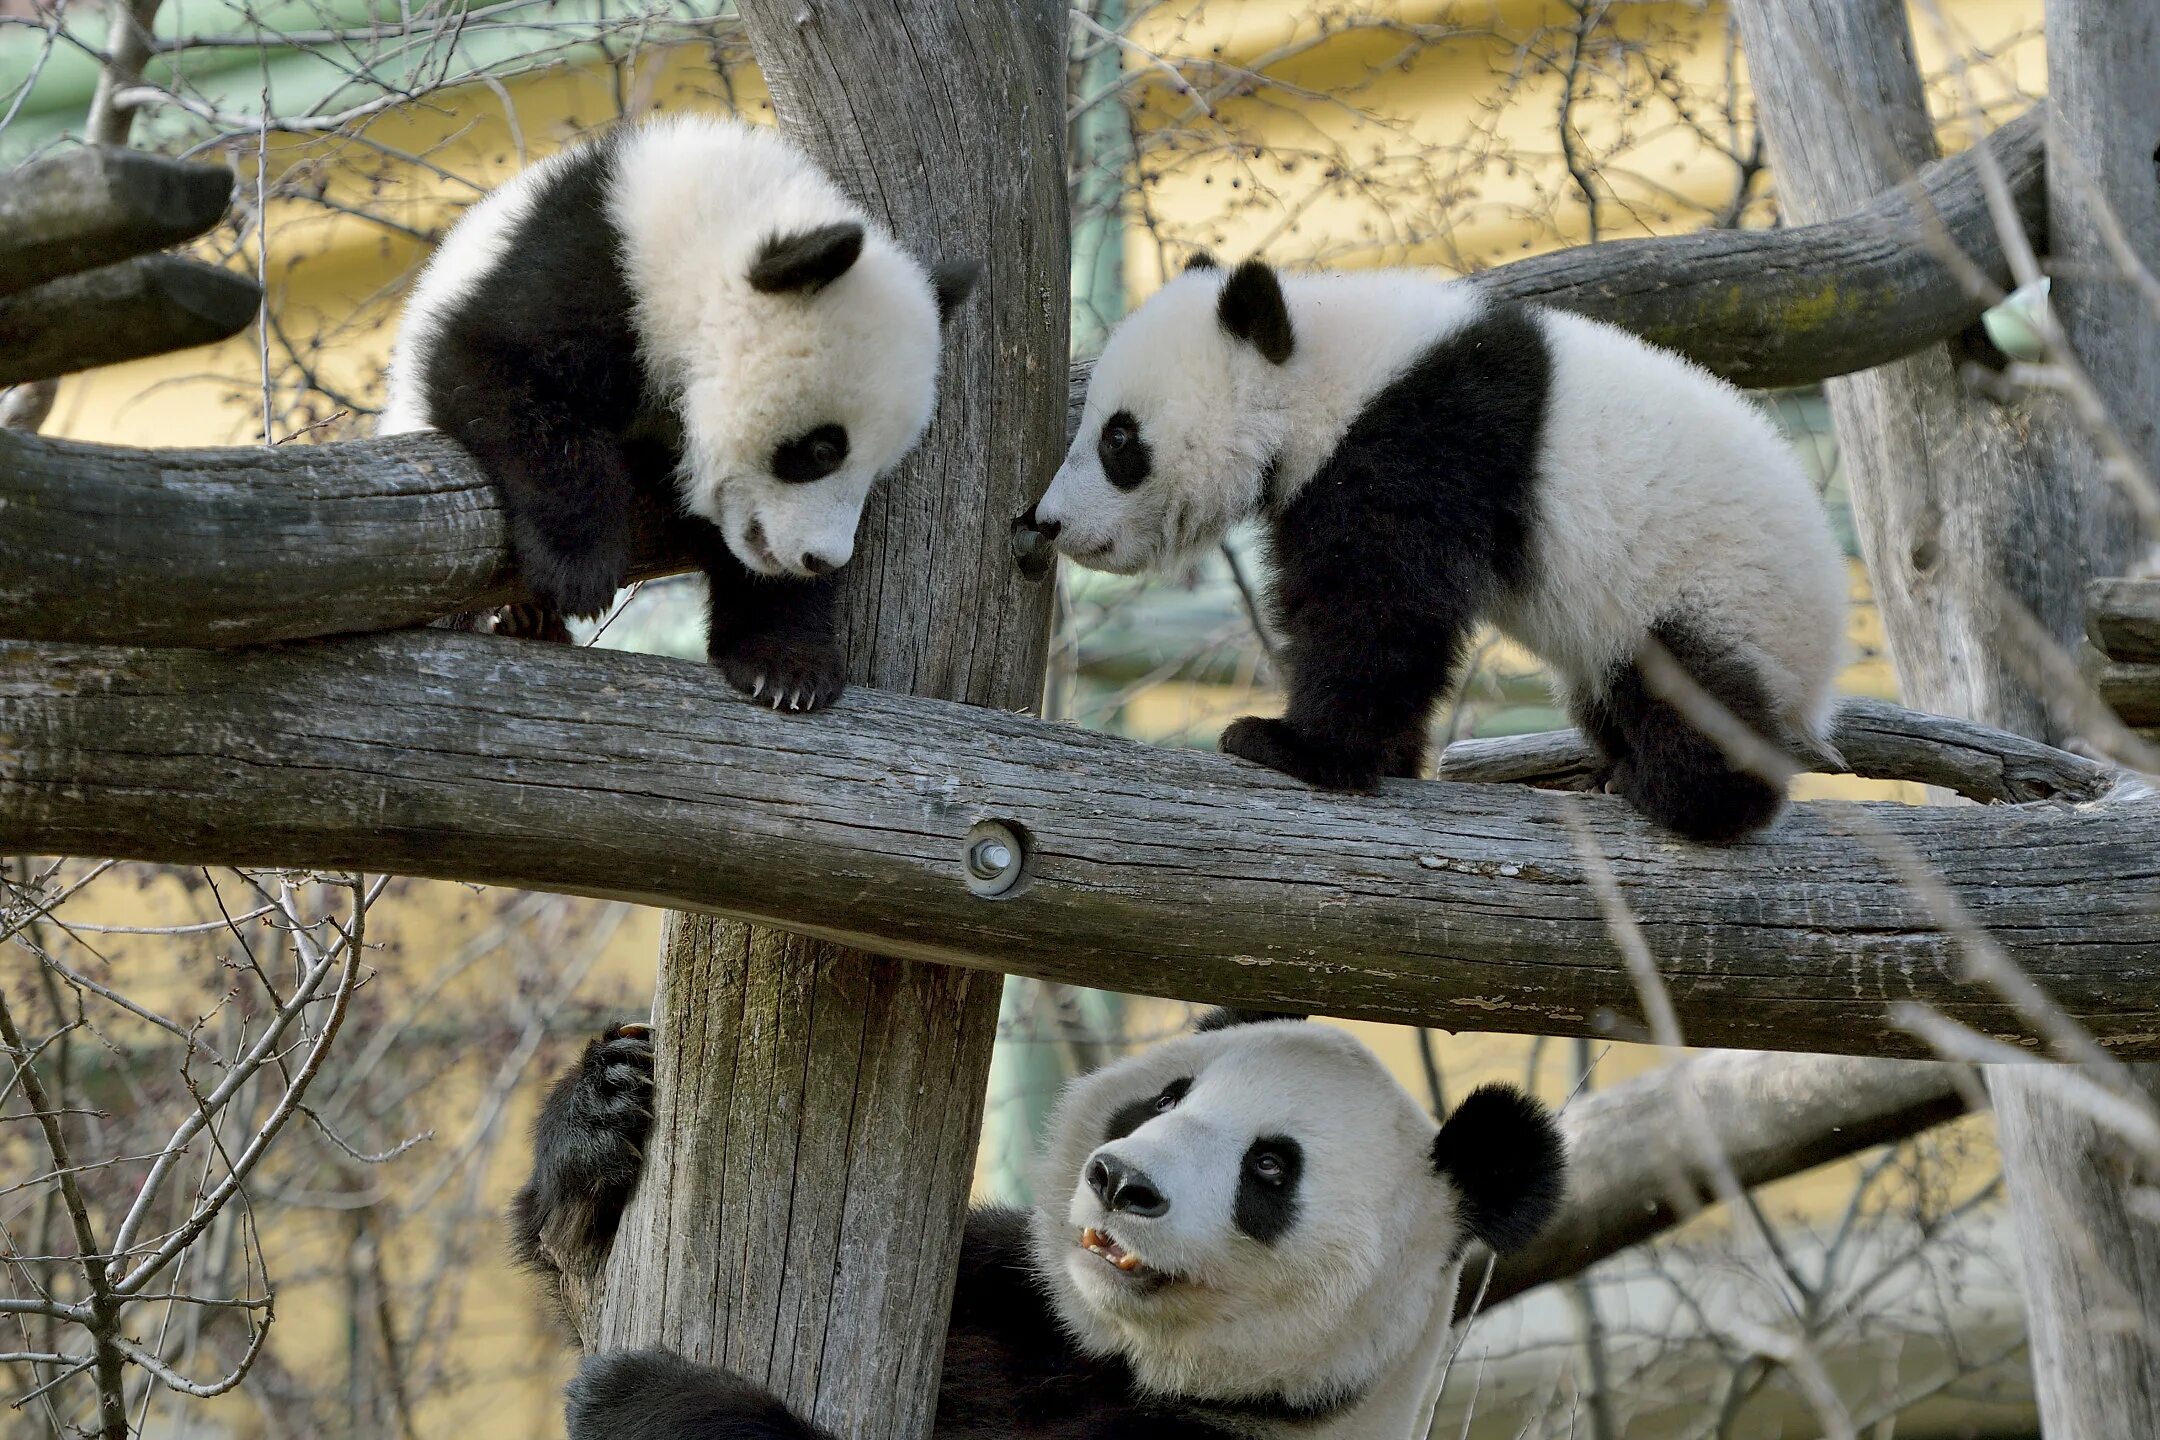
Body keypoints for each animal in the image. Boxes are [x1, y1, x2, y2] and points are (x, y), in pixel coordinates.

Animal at [380, 115, 972, 712]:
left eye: (876, 470)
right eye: (822, 450)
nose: (820, 559)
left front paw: (786, 665)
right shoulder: (587, 268)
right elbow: (497, 375)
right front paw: (579, 567)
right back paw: (518, 617)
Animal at [522, 1010, 1572, 1433]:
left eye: (1270, 1167)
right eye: (1165, 1099)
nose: (1119, 1180)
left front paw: (646, 1400)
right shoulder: (1014, 1292)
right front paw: (603, 1114)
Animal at [1010, 260, 1840, 846]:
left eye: (1119, 439)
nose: (1046, 522)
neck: (1323, 364)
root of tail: (1822, 674)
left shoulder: (1421, 438)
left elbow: (1380, 609)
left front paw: (1291, 746)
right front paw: (1377, 756)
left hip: (1714, 589)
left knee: (1691, 692)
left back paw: (1683, 793)